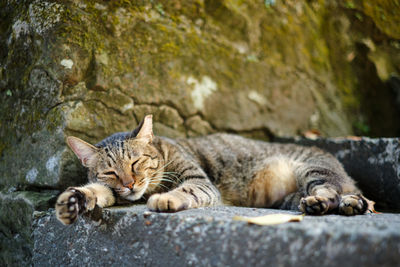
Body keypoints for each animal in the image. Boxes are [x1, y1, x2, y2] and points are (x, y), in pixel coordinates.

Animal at [54, 114, 370, 225]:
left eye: (135, 163)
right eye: (111, 172)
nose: (130, 184)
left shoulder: (200, 182)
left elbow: (187, 190)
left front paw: (166, 199)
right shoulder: (111, 190)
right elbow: (95, 191)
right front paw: (73, 200)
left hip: (312, 171)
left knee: (331, 190)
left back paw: (328, 203)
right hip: (291, 198)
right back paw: (351, 205)